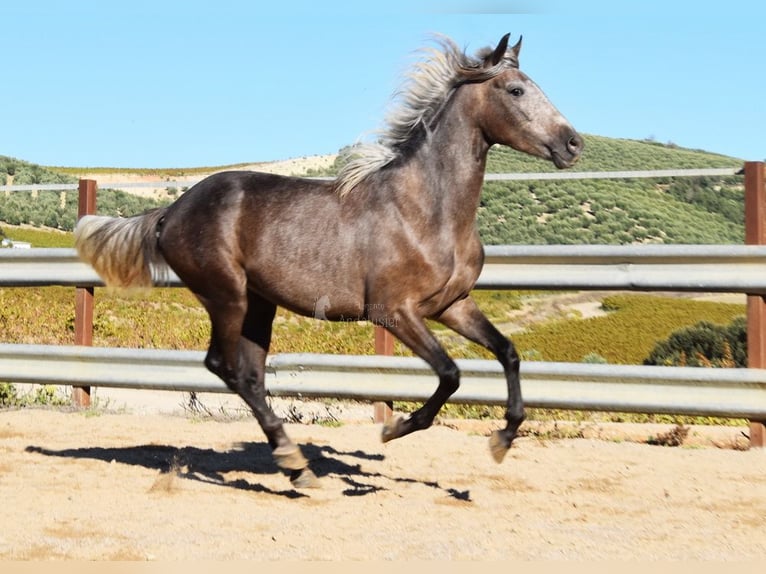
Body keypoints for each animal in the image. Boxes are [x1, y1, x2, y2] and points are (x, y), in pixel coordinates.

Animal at [76, 33, 584, 488]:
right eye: (516, 90)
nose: (573, 144)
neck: (426, 210)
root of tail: (171, 211)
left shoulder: (452, 305)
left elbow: (508, 352)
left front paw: (503, 438)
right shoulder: (393, 311)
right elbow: (450, 374)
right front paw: (393, 429)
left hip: (260, 303)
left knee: (252, 374)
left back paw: (295, 464)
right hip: (226, 295)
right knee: (225, 366)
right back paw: (291, 460)